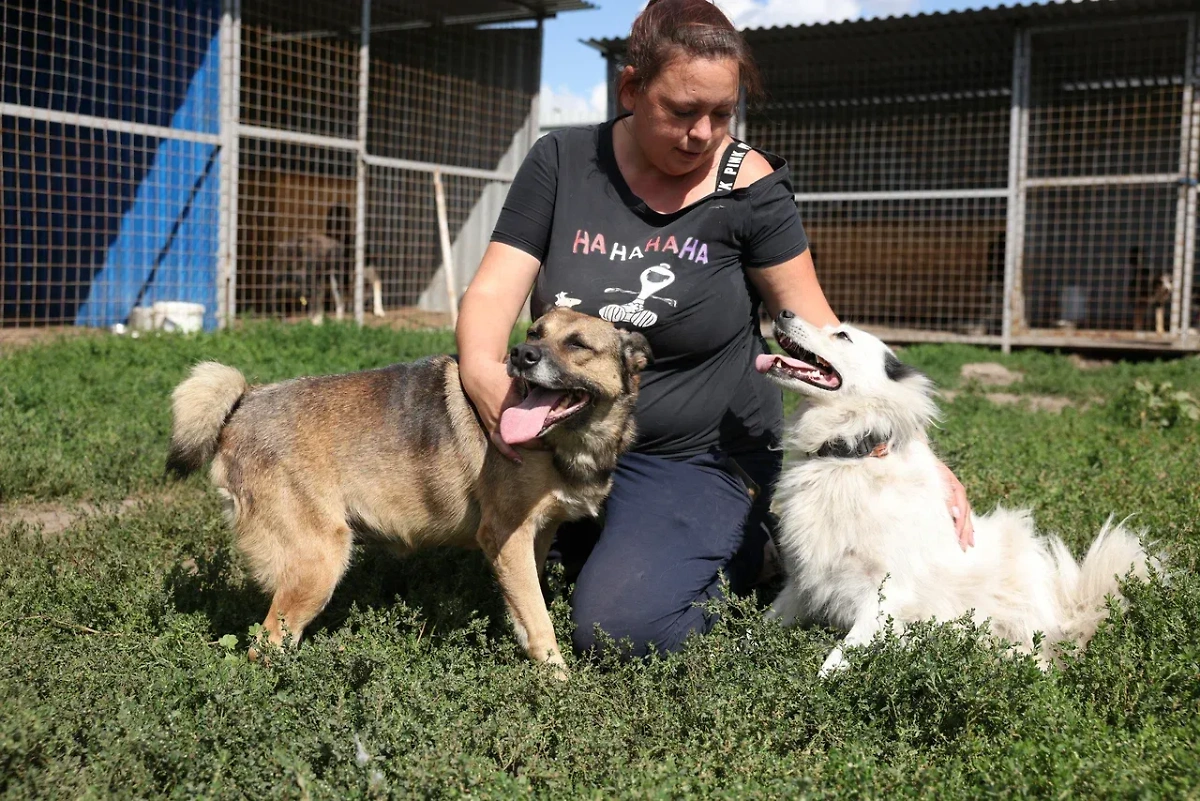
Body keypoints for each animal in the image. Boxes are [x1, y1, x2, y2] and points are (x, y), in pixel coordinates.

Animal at [169, 309, 652, 671]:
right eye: (534, 333)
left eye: (578, 344)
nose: (521, 354)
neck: (565, 443)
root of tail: (244, 401)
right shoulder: (505, 536)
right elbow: (540, 622)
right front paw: (559, 685)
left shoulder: (532, 539)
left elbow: (526, 606)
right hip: (318, 562)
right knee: (264, 647)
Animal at [758, 311, 1152, 676]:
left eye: (842, 335)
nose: (783, 313)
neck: (846, 456)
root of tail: (1068, 611)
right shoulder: (801, 583)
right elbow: (758, 627)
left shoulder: (886, 594)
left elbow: (837, 658)